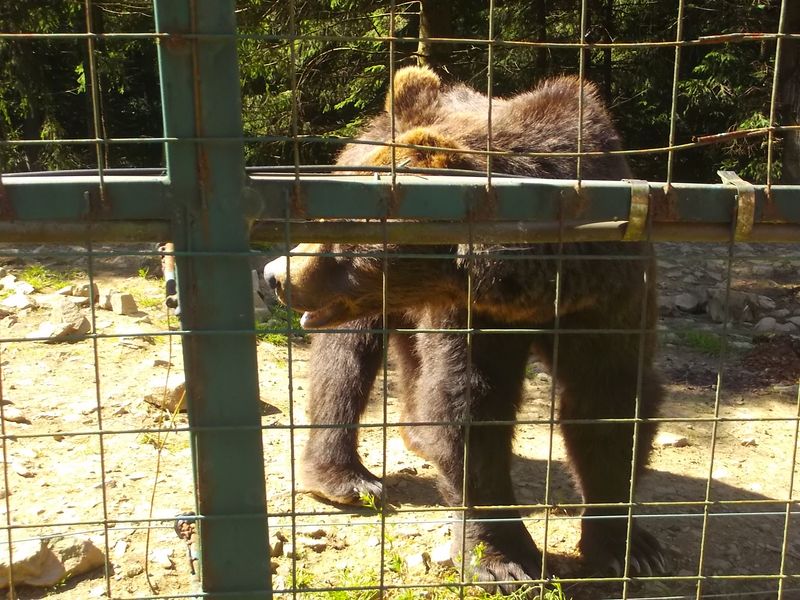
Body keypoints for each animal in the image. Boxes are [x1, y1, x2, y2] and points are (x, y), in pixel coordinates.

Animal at [264, 66, 666, 590]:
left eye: (343, 228)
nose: (274, 275)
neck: (536, 284)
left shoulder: (611, 288)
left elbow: (610, 401)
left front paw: (630, 549)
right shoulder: (471, 309)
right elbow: (468, 400)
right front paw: (504, 559)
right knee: (346, 359)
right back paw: (344, 478)